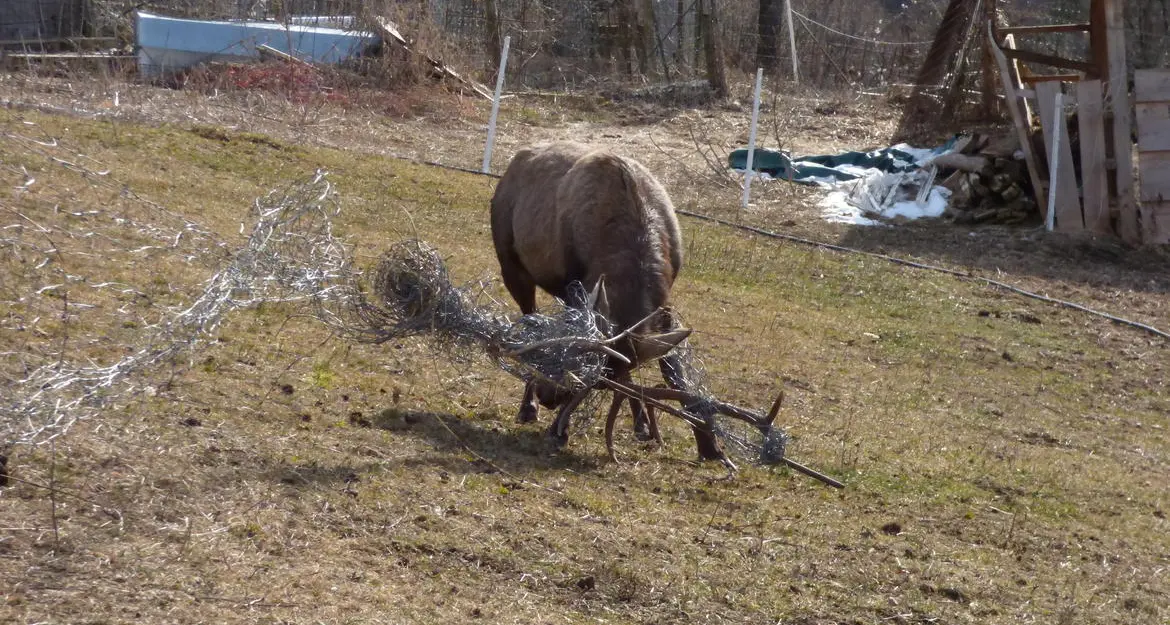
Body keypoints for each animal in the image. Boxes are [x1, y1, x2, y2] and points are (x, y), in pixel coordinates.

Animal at [490, 140, 725, 461]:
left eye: (598, 380)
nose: (548, 396)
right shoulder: (575, 291)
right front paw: (558, 429)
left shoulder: (662, 310)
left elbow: (669, 371)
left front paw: (706, 443)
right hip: (512, 268)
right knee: (528, 321)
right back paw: (527, 407)